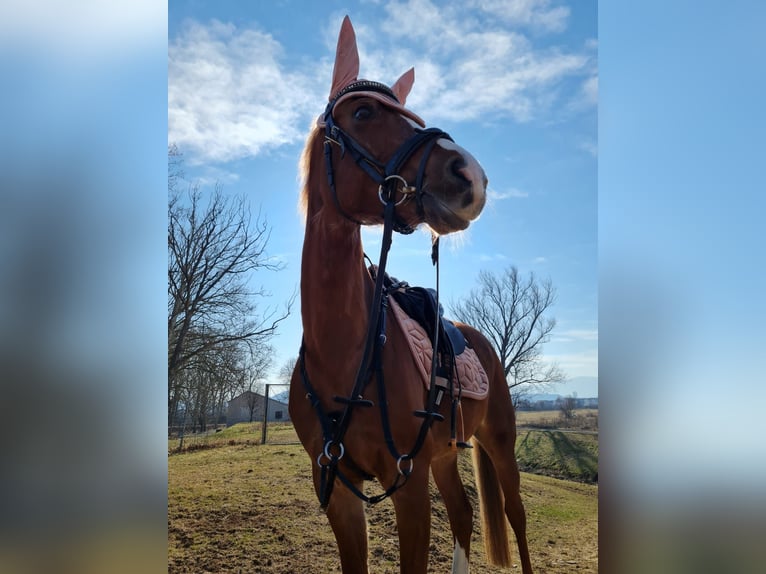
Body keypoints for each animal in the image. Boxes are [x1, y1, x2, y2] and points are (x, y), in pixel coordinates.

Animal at [289, 16, 533, 574]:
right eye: (362, 112)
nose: (471, 176)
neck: (344, 354)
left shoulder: (409, 484)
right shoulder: (336, 489)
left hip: (500, 445)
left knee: (515, 515)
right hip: (446, 455)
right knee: (464, 512)